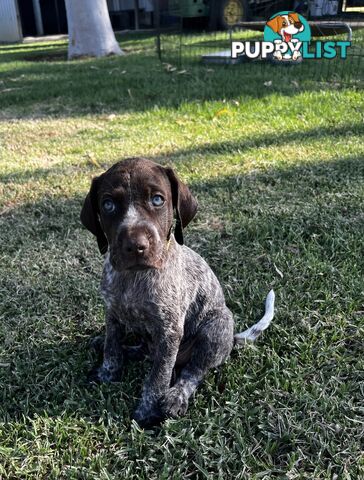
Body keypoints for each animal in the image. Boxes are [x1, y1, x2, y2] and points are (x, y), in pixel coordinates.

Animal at [79, 159, 272, 426]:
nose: (135, 246)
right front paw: (107, 372)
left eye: (157, 200)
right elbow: (112, 347)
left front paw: (147, 412)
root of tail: (233, 339)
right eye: (108, 205)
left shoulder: (169, 330)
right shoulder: (113, 313)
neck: (133, 278)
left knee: (192, 371)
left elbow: (158, 376)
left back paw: (175, 397)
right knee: (145, 352)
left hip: (216, 326)